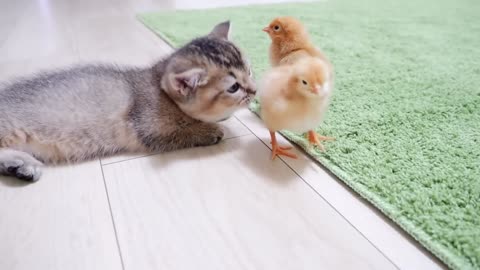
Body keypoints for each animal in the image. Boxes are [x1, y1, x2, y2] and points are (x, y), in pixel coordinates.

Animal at [0, 20, 256, 181]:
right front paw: (209, 130)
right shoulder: (151, 129)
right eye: (234, 87)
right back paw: (21, 163)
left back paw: (20, 166)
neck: (158, 84)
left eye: (250, 71)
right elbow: (182, 132)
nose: (254, 91)